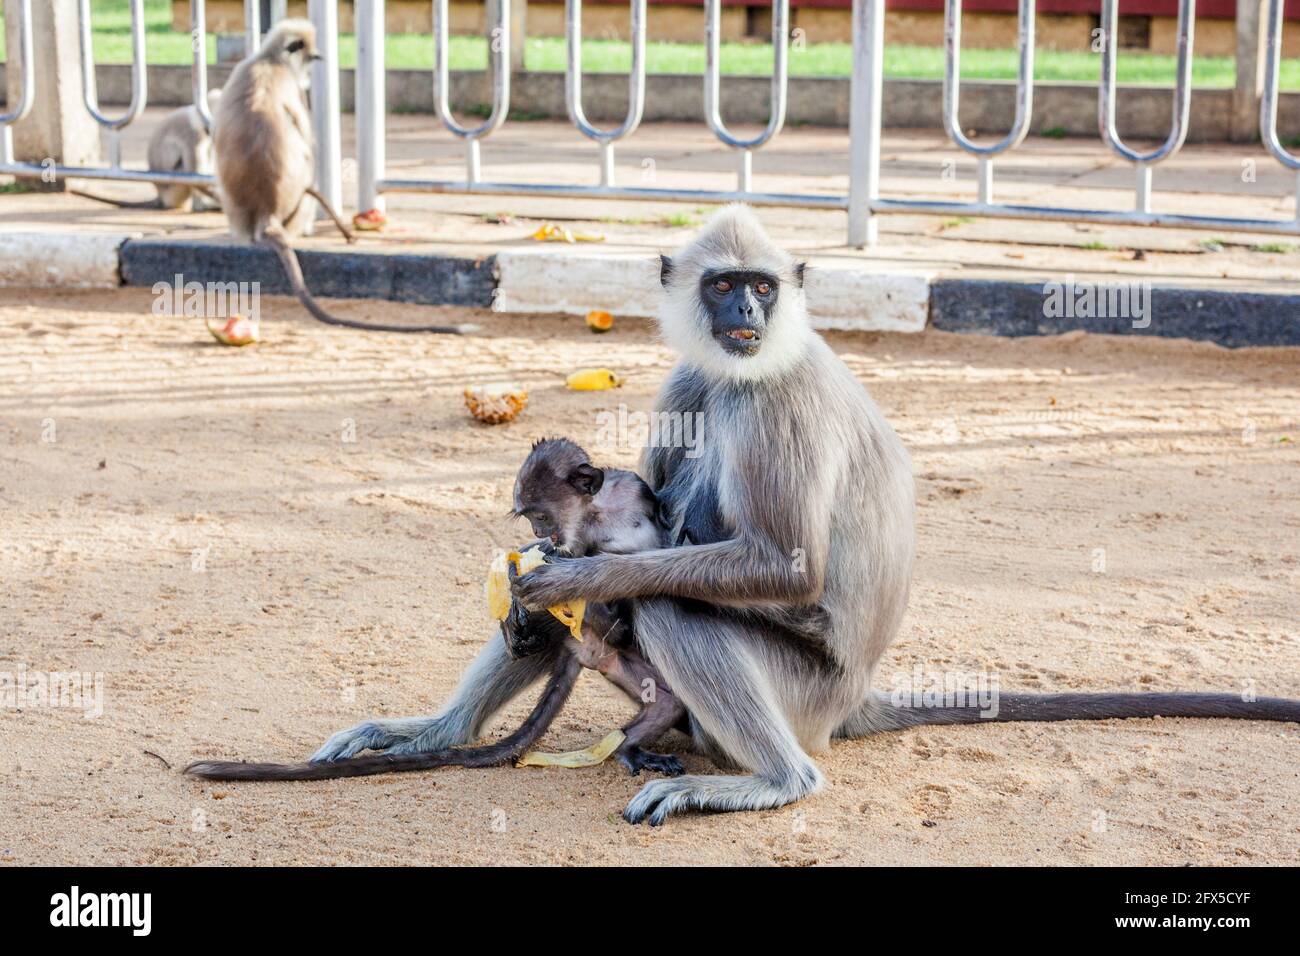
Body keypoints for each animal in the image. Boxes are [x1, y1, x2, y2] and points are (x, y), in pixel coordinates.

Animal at [215, 18, 475, 335]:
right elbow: (307, 149)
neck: (269, 60)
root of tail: (267, 213)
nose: (314, 64)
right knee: (308, 183)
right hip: (296, 208)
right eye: (309, 57)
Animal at [297, 208, 1300, 822]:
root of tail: (854, 698)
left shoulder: (775, 400)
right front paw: (534, 582)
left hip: (803, 693)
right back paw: (439, 734)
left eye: (763, 286)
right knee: (578, 627)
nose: (744, 304)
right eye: (722, 285)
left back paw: (772, 780)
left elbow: (783, 566)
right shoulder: (688, 379)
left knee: (671, 606)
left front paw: (578, 571)